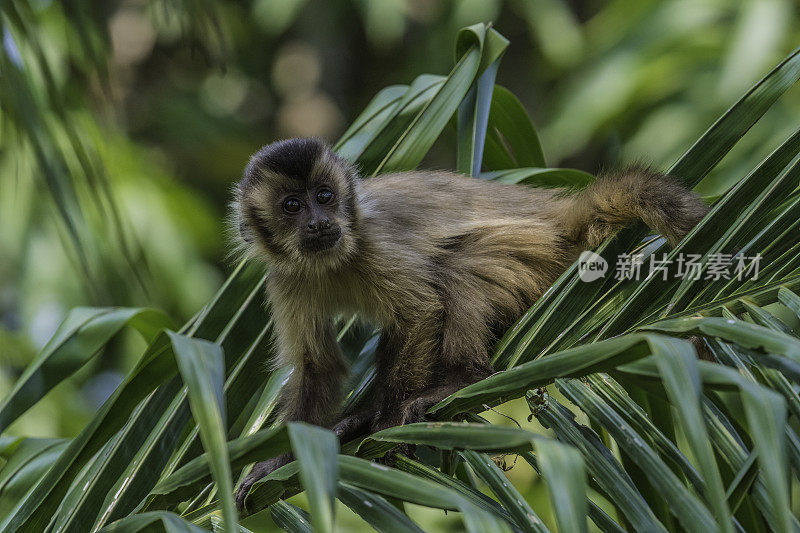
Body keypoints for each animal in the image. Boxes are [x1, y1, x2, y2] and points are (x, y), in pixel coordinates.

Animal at [230, 136, 708, 508]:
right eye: (293, 205)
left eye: (325, 196)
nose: (318, 222)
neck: (333, 259)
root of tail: (559, 217)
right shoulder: (284, 278)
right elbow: (318, 366)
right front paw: (278, 461)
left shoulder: (373, 242)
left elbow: (421, 309)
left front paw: (386, 421)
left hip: (536, 253)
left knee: (458, 265)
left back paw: (461, 379)